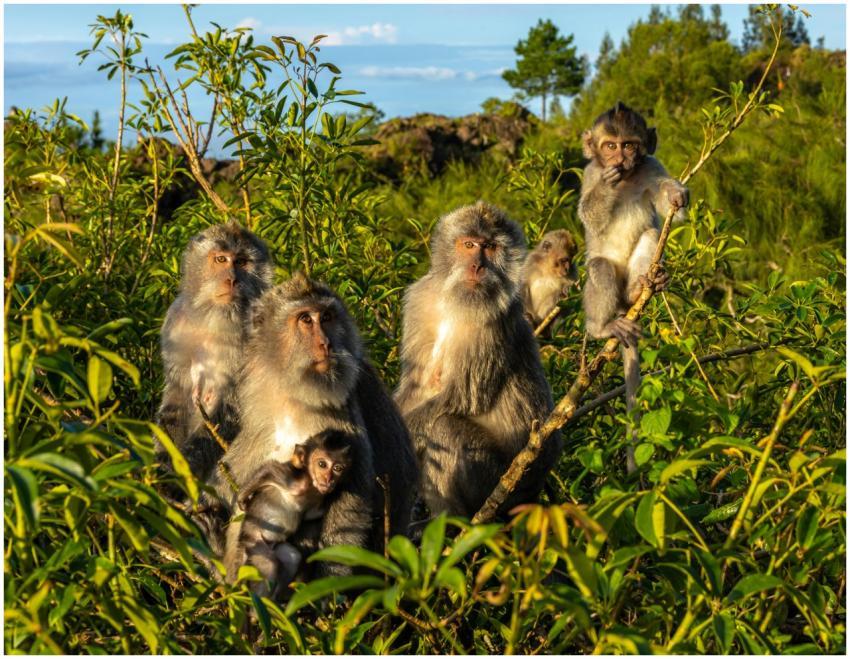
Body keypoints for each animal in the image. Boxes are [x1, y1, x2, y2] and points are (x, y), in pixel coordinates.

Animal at [156, 222, 272, 484]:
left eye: (241, 262)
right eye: (221, 259)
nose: (232, 280)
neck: (215, 320)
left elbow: (233, 406)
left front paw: (181, 472)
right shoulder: (175, 321)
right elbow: (177, 394)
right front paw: (161, 465)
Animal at [211, 274, 417, 576]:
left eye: (328, 317)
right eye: (306, 319)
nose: (326, 344)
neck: (295, 396)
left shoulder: (341, 413)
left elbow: (350, 504)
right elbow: (241, 462)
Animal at [223, 430, 353, 597]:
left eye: (338, 468)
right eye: (322, 464)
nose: (329, 480)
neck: (312, 487)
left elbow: (311, 515)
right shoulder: (292, 479)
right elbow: (269, 469)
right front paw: (242, 498)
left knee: (291, 557)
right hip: (254, 544)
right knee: (269, 565)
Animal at [395, 201, 563, 519]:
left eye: (491, 247)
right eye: (469, 244)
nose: (478, 266)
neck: (456, 302)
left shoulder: (491, 323)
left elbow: (460, 397)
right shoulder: (421, 300)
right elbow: (415, 385)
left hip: (500, 481)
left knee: (447, 430)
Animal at [578, 102, 689, 473]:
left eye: (629, 145)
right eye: (610, 146)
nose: (620, 159)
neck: (627, 179)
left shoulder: (652, 165)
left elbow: (668, 209)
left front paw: (676, 195)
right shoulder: (590, 173)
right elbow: (589, 213)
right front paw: (606, 188)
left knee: (652, 233)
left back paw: (646, 284)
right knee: (599, 267)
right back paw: (603, 327)